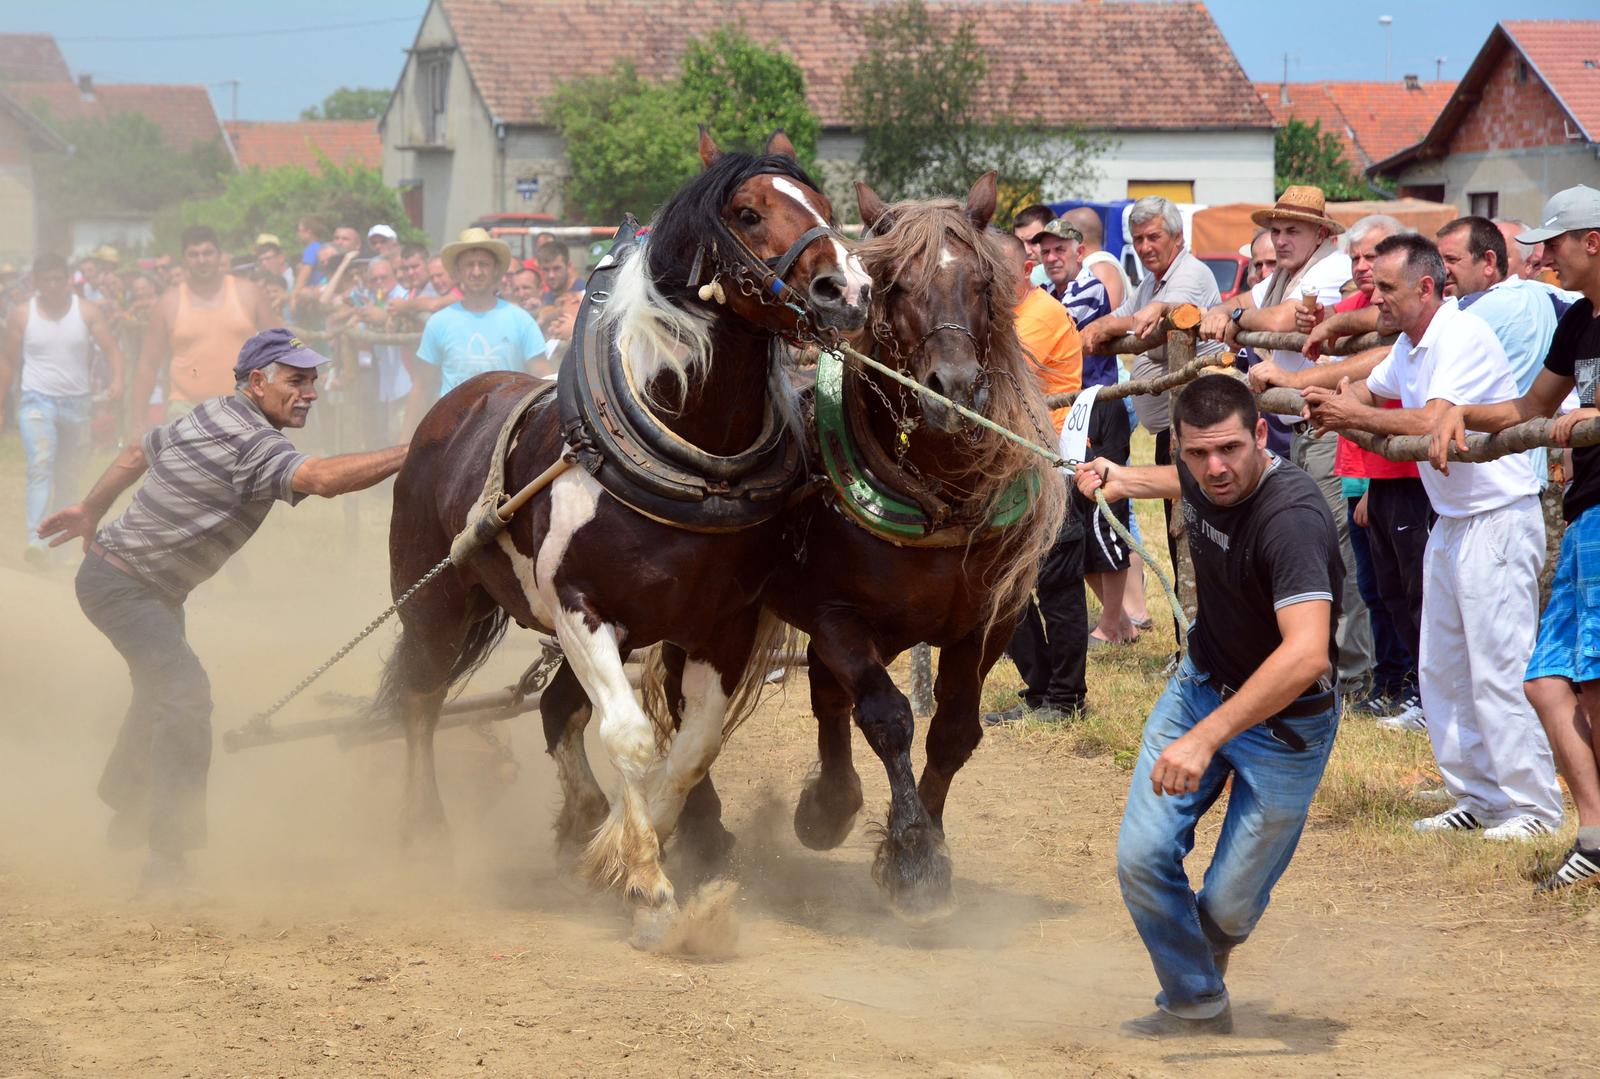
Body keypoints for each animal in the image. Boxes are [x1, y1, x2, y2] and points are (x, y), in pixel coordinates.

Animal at [379, 132, 870, 941]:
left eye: (826, 205)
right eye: (747, 211)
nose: (848, 290)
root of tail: (453, 404)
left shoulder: (720, 626)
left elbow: (692, 747)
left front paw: (624, 849)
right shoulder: (582, 610)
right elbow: (633, 739)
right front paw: (642, 876)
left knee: (553, 712)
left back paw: (578, 817)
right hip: (435, 602)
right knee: (420, 702)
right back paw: (424, 829)